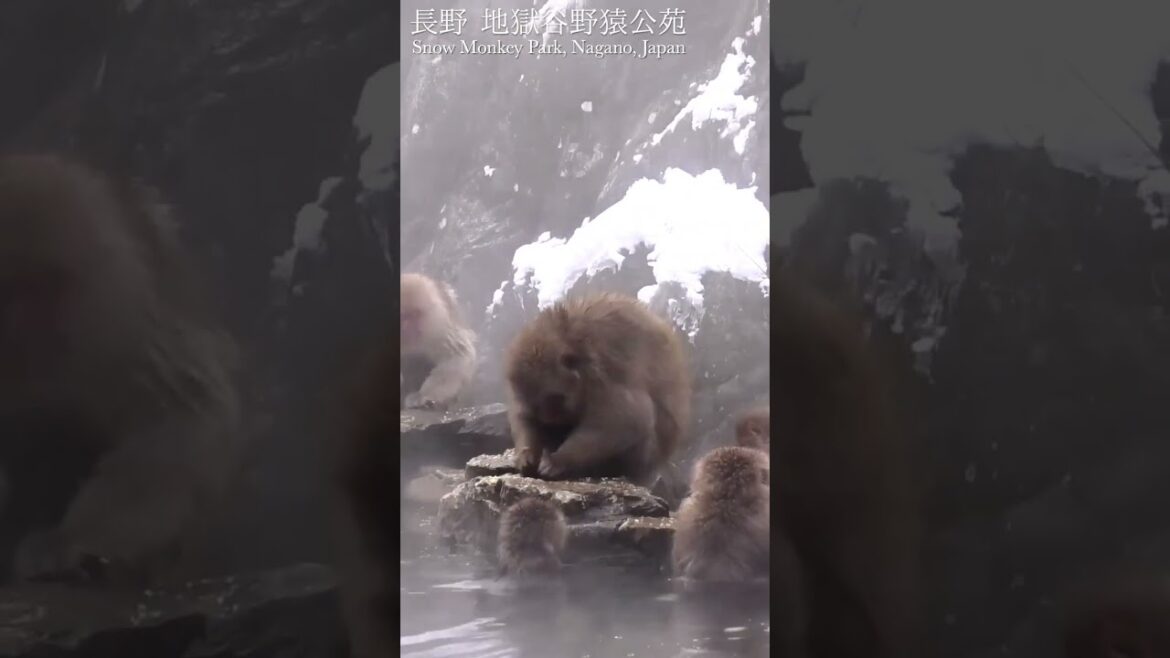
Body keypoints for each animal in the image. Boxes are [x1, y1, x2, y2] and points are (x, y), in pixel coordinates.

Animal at [0, 153, 243, 586]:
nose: (26, 330)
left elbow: (182, 417)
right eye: (8, 290)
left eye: (40, 286)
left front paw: (67, 540)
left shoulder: (118, 315)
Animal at [400, 272, 476, 410]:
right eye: (403, 317)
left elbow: (456, 356)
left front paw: (422, 395)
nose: (409, 329)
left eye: (415, 314)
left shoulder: (439, 326)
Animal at [504, 293, 691, 485]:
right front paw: (527, 455)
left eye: (556, 399)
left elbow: (630, 419)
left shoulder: (603, 377)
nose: (549, 419)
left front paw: (558, 460)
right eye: (536, 404)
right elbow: (523, 416)